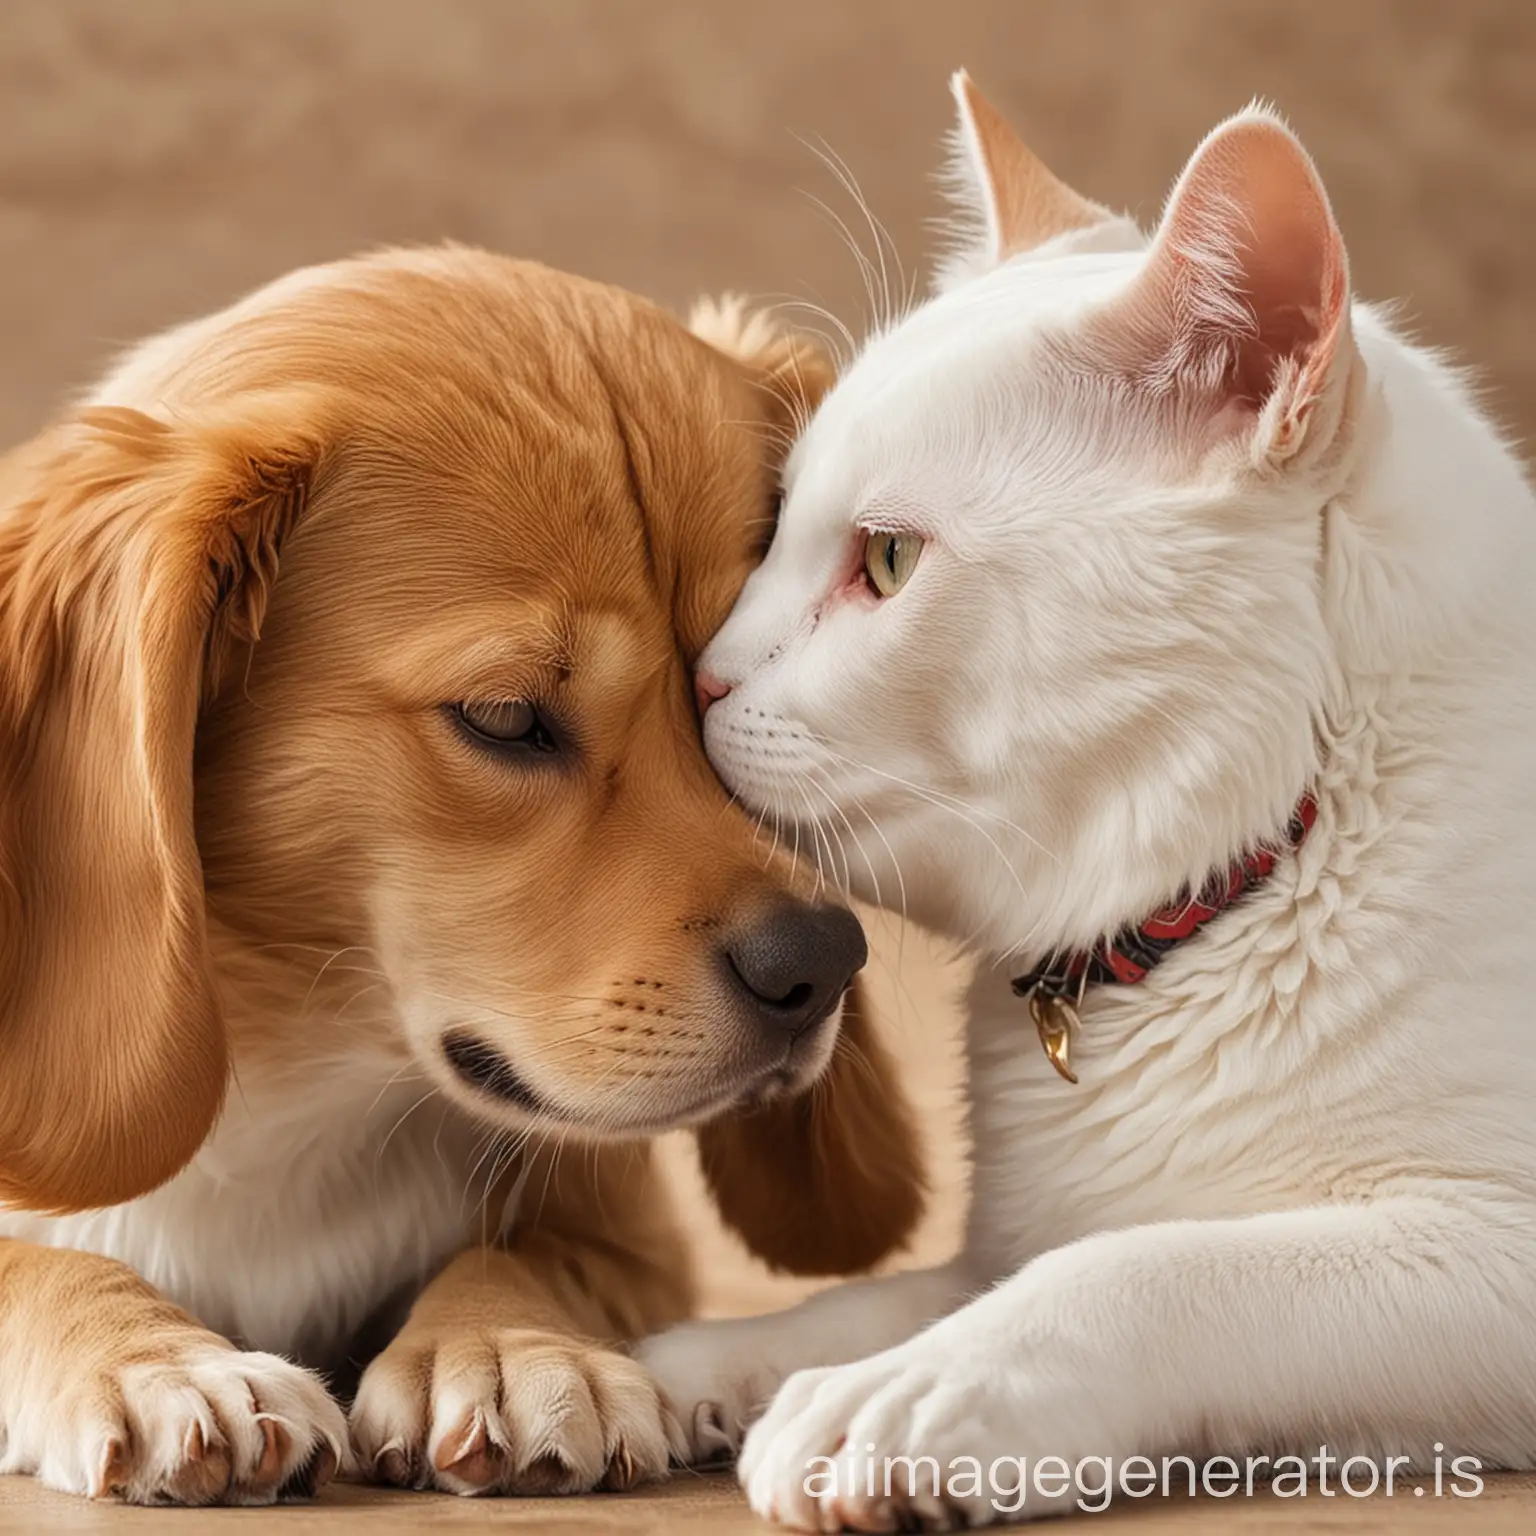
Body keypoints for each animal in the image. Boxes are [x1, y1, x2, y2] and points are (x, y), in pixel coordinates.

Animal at [0, 245, 915, 1505]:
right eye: (505, 717)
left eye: (736, 690)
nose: (820, 964)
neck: (299, 1082)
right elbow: (28, 1265)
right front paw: (152, 1356)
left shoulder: (626, 1232)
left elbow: (529, 1251)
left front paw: (506, 1342)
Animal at [635, 69, 1536, 1523]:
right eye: (775, 529)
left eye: (888, 561)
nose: (698, 681)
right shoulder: (997, 1236)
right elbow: (908, 1291)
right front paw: (680, 1366)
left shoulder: (1486, 1245)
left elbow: (1143, 1266)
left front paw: (909, 1397)